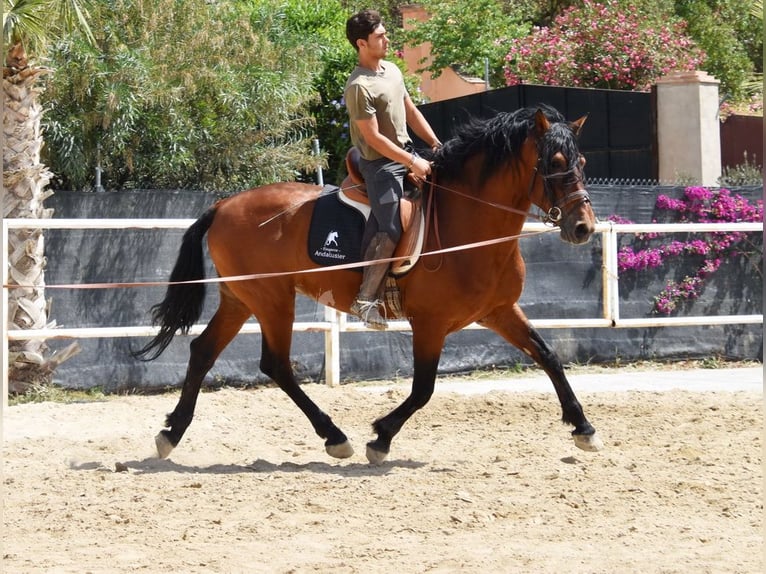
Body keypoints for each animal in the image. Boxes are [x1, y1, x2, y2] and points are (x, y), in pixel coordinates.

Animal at [135, 106, 608, 466]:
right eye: (555, 164)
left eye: (584, 164)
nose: (583, 227)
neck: (467, 223)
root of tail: (223, 204)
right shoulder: (430, 323)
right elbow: (423, 388)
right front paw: (380, 437)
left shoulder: (499, 311)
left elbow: (549, 357)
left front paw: (583, 427)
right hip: (271, 299)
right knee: (276, 364)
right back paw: (334, 436)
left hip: (241, 298)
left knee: (204, 352)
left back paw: (171, 433)